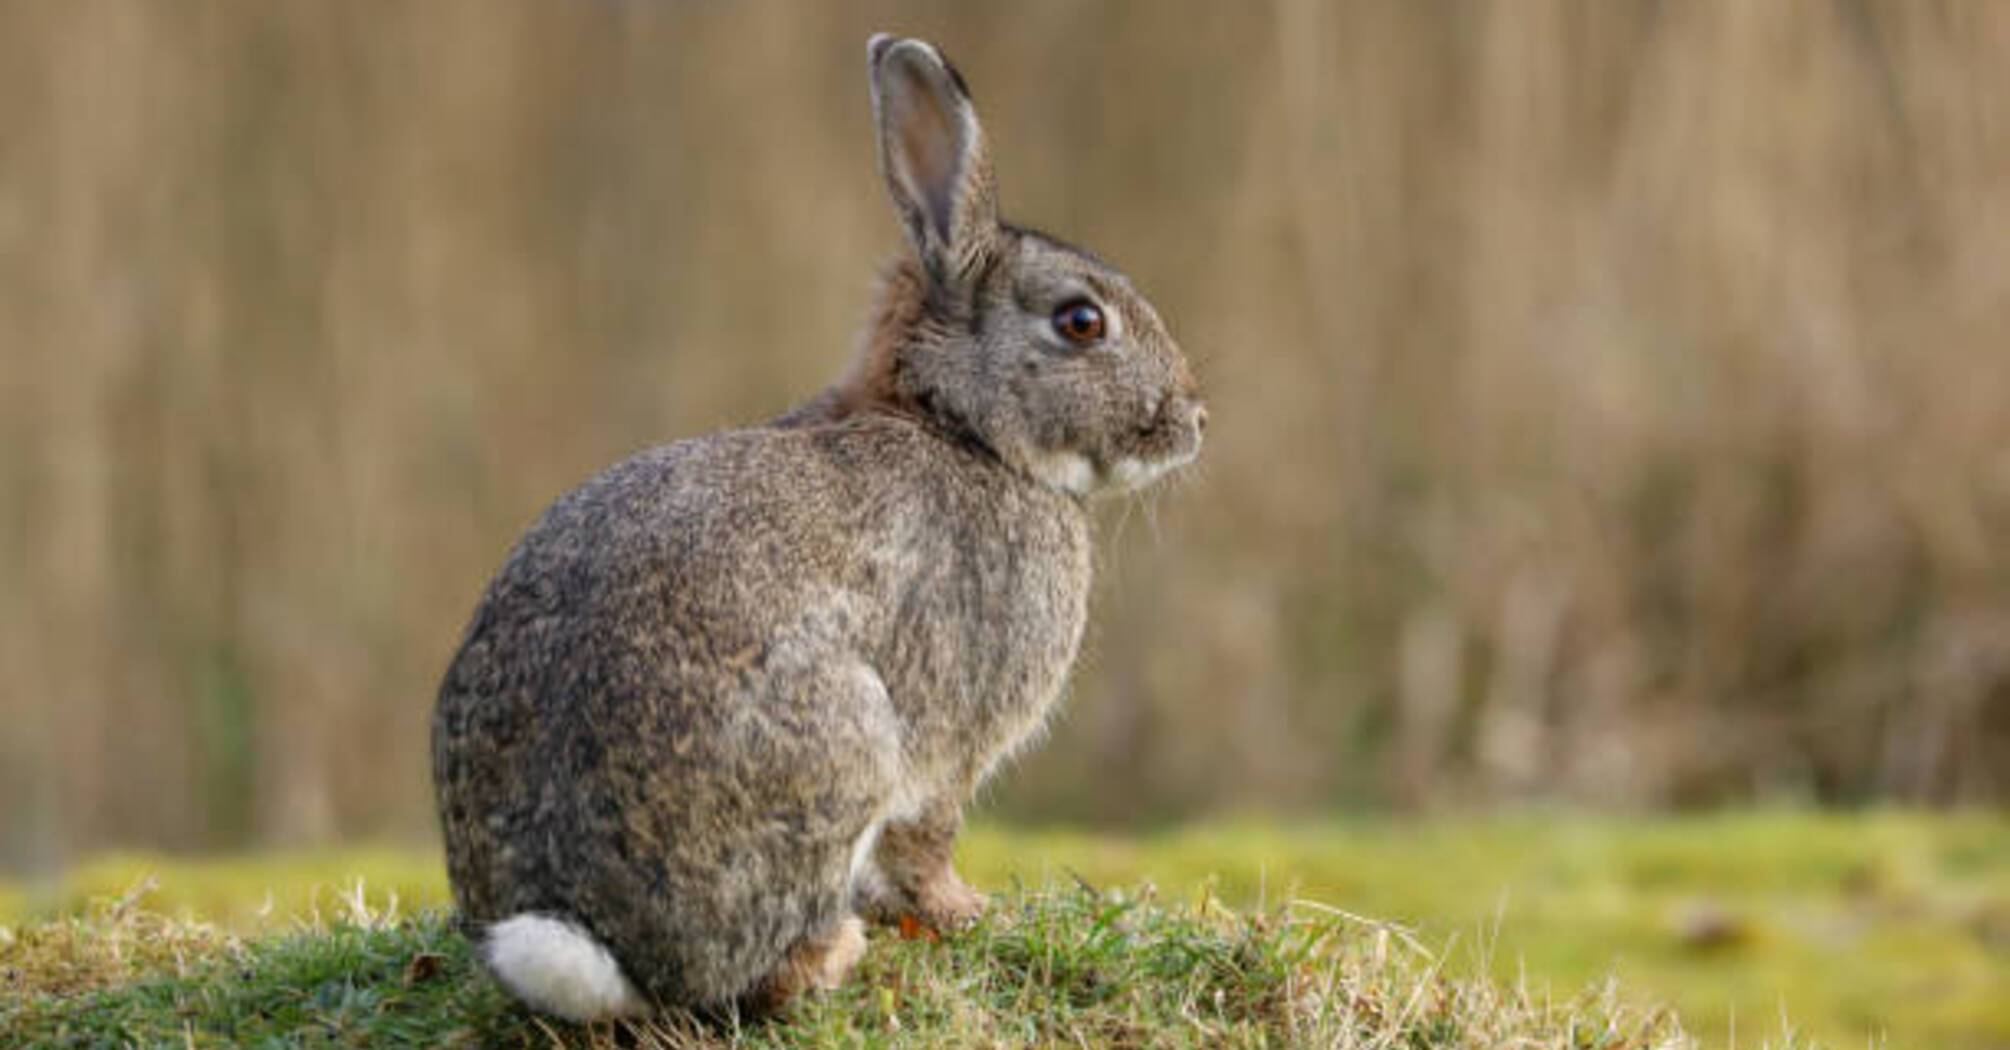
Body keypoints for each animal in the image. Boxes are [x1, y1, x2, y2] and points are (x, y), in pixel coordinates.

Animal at [430, 34, 1197, 1021]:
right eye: (1081, 321)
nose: (1192, 419)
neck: (961, 426)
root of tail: (598, 946)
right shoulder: (954, 742)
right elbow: (929, 841)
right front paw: (965, 912)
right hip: (847, 743)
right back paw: (835, 954)